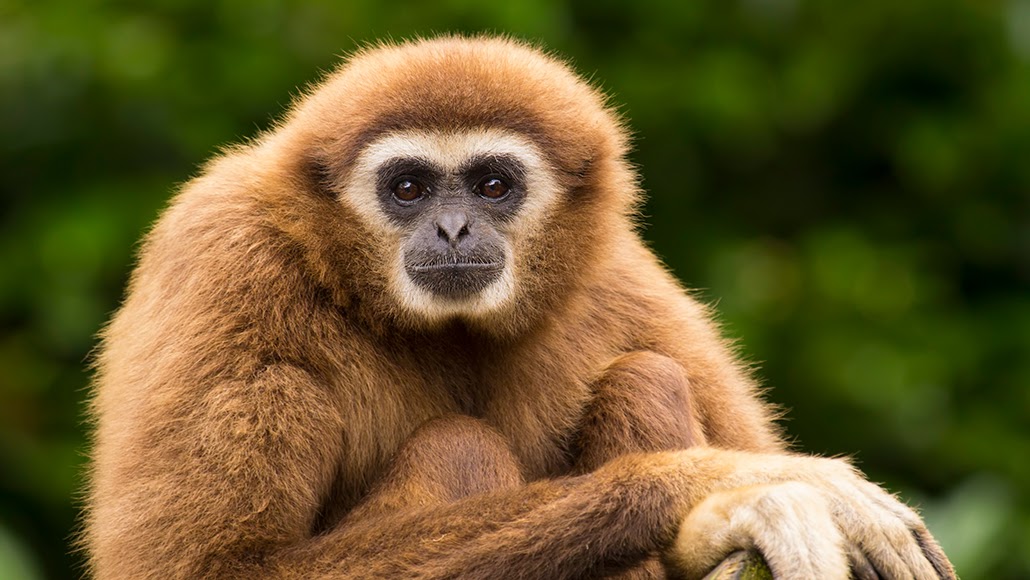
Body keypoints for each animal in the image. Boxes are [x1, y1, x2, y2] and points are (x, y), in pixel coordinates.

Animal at [82, 36, 955, 579]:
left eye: (493, 184)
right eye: (408, 187)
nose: (453, 227)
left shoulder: (618, 271)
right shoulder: (221, 262)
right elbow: (215, 568)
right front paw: (728, 489)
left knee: (648, 373)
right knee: (459, 444)